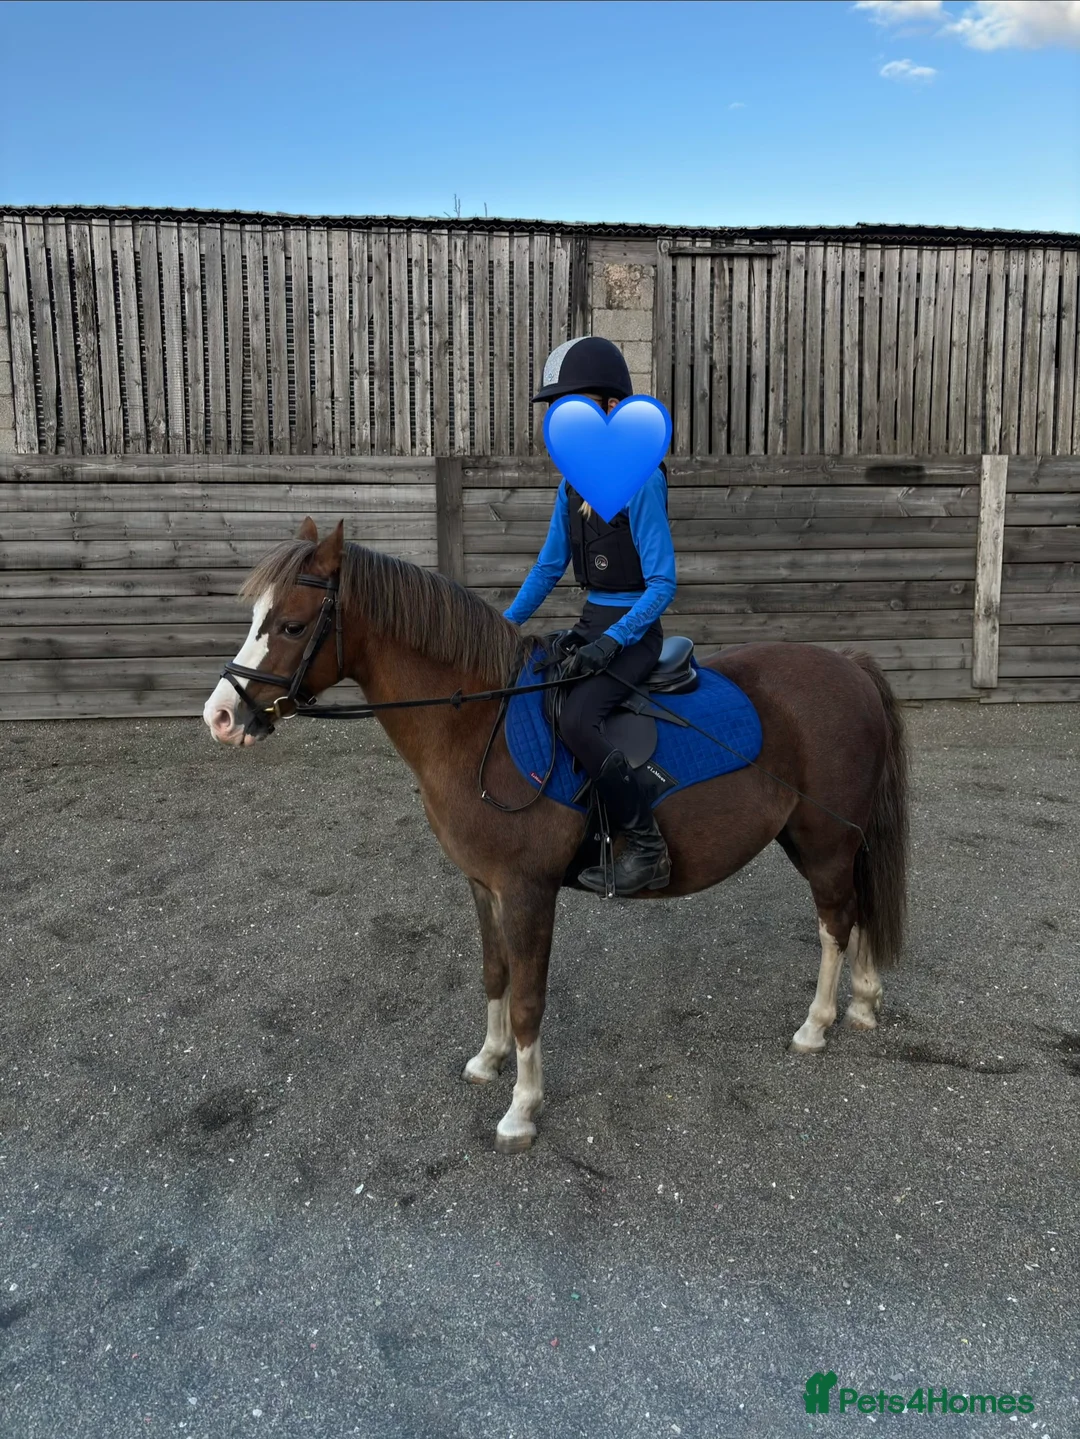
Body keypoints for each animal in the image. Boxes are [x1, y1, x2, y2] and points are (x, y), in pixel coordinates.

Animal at [203, 518, 909, 1154]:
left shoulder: (527, 890)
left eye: (292, 626)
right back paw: (864, 1004)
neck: (476, 726)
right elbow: (494, 974)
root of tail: (848, 665)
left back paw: (816, 1025)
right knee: (858, 908)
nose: (221, 715)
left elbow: (527, 998)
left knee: (835, 921)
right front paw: (488, 1061)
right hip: (823, 837)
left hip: (824, 840)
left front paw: (521, 1110)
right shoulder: (482, 884)